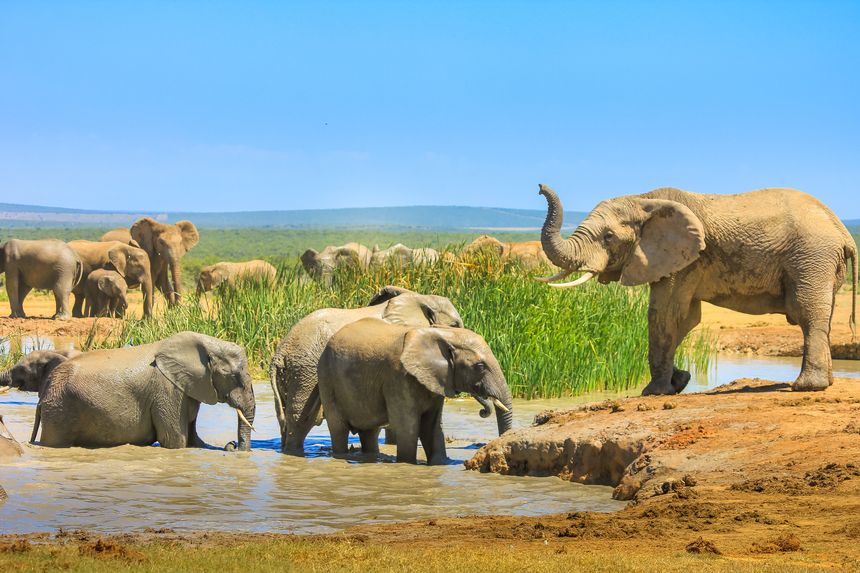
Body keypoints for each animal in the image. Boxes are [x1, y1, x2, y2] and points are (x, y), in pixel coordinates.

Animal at [35, 331, 255, 450]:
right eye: (233, 375)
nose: (232, 444)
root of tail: (47, 385)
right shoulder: (167, 390)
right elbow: (175, 441)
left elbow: (193, 440)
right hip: (60, 408)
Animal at [269, 285, 464, 454]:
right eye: (454, 325)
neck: (420, 299)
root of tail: (280, 354)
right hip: (305, 371)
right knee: (302, 419)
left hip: (292, 374)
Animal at [318, 318, 513, 464]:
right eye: (479, 366)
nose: (482, 411)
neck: (442, 334)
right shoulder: (398, 377)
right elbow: (409, 427)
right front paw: (407, 463)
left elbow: (432, 426)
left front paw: (440, 463)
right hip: (327, 379)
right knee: (339, 429)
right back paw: (342, 456)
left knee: (370, 432)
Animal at [538, 184, 858, 395]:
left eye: (608, 237)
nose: (540, 187)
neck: (643, 199)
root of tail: (842, 231)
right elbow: (685, 319)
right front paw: (679, 381)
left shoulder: (685, 259)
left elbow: (665, 314)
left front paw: (654, 392)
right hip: (822, 263)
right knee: (823, 317)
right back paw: (825, 383)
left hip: (812, 257)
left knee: (807, 314)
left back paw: (806, 387)